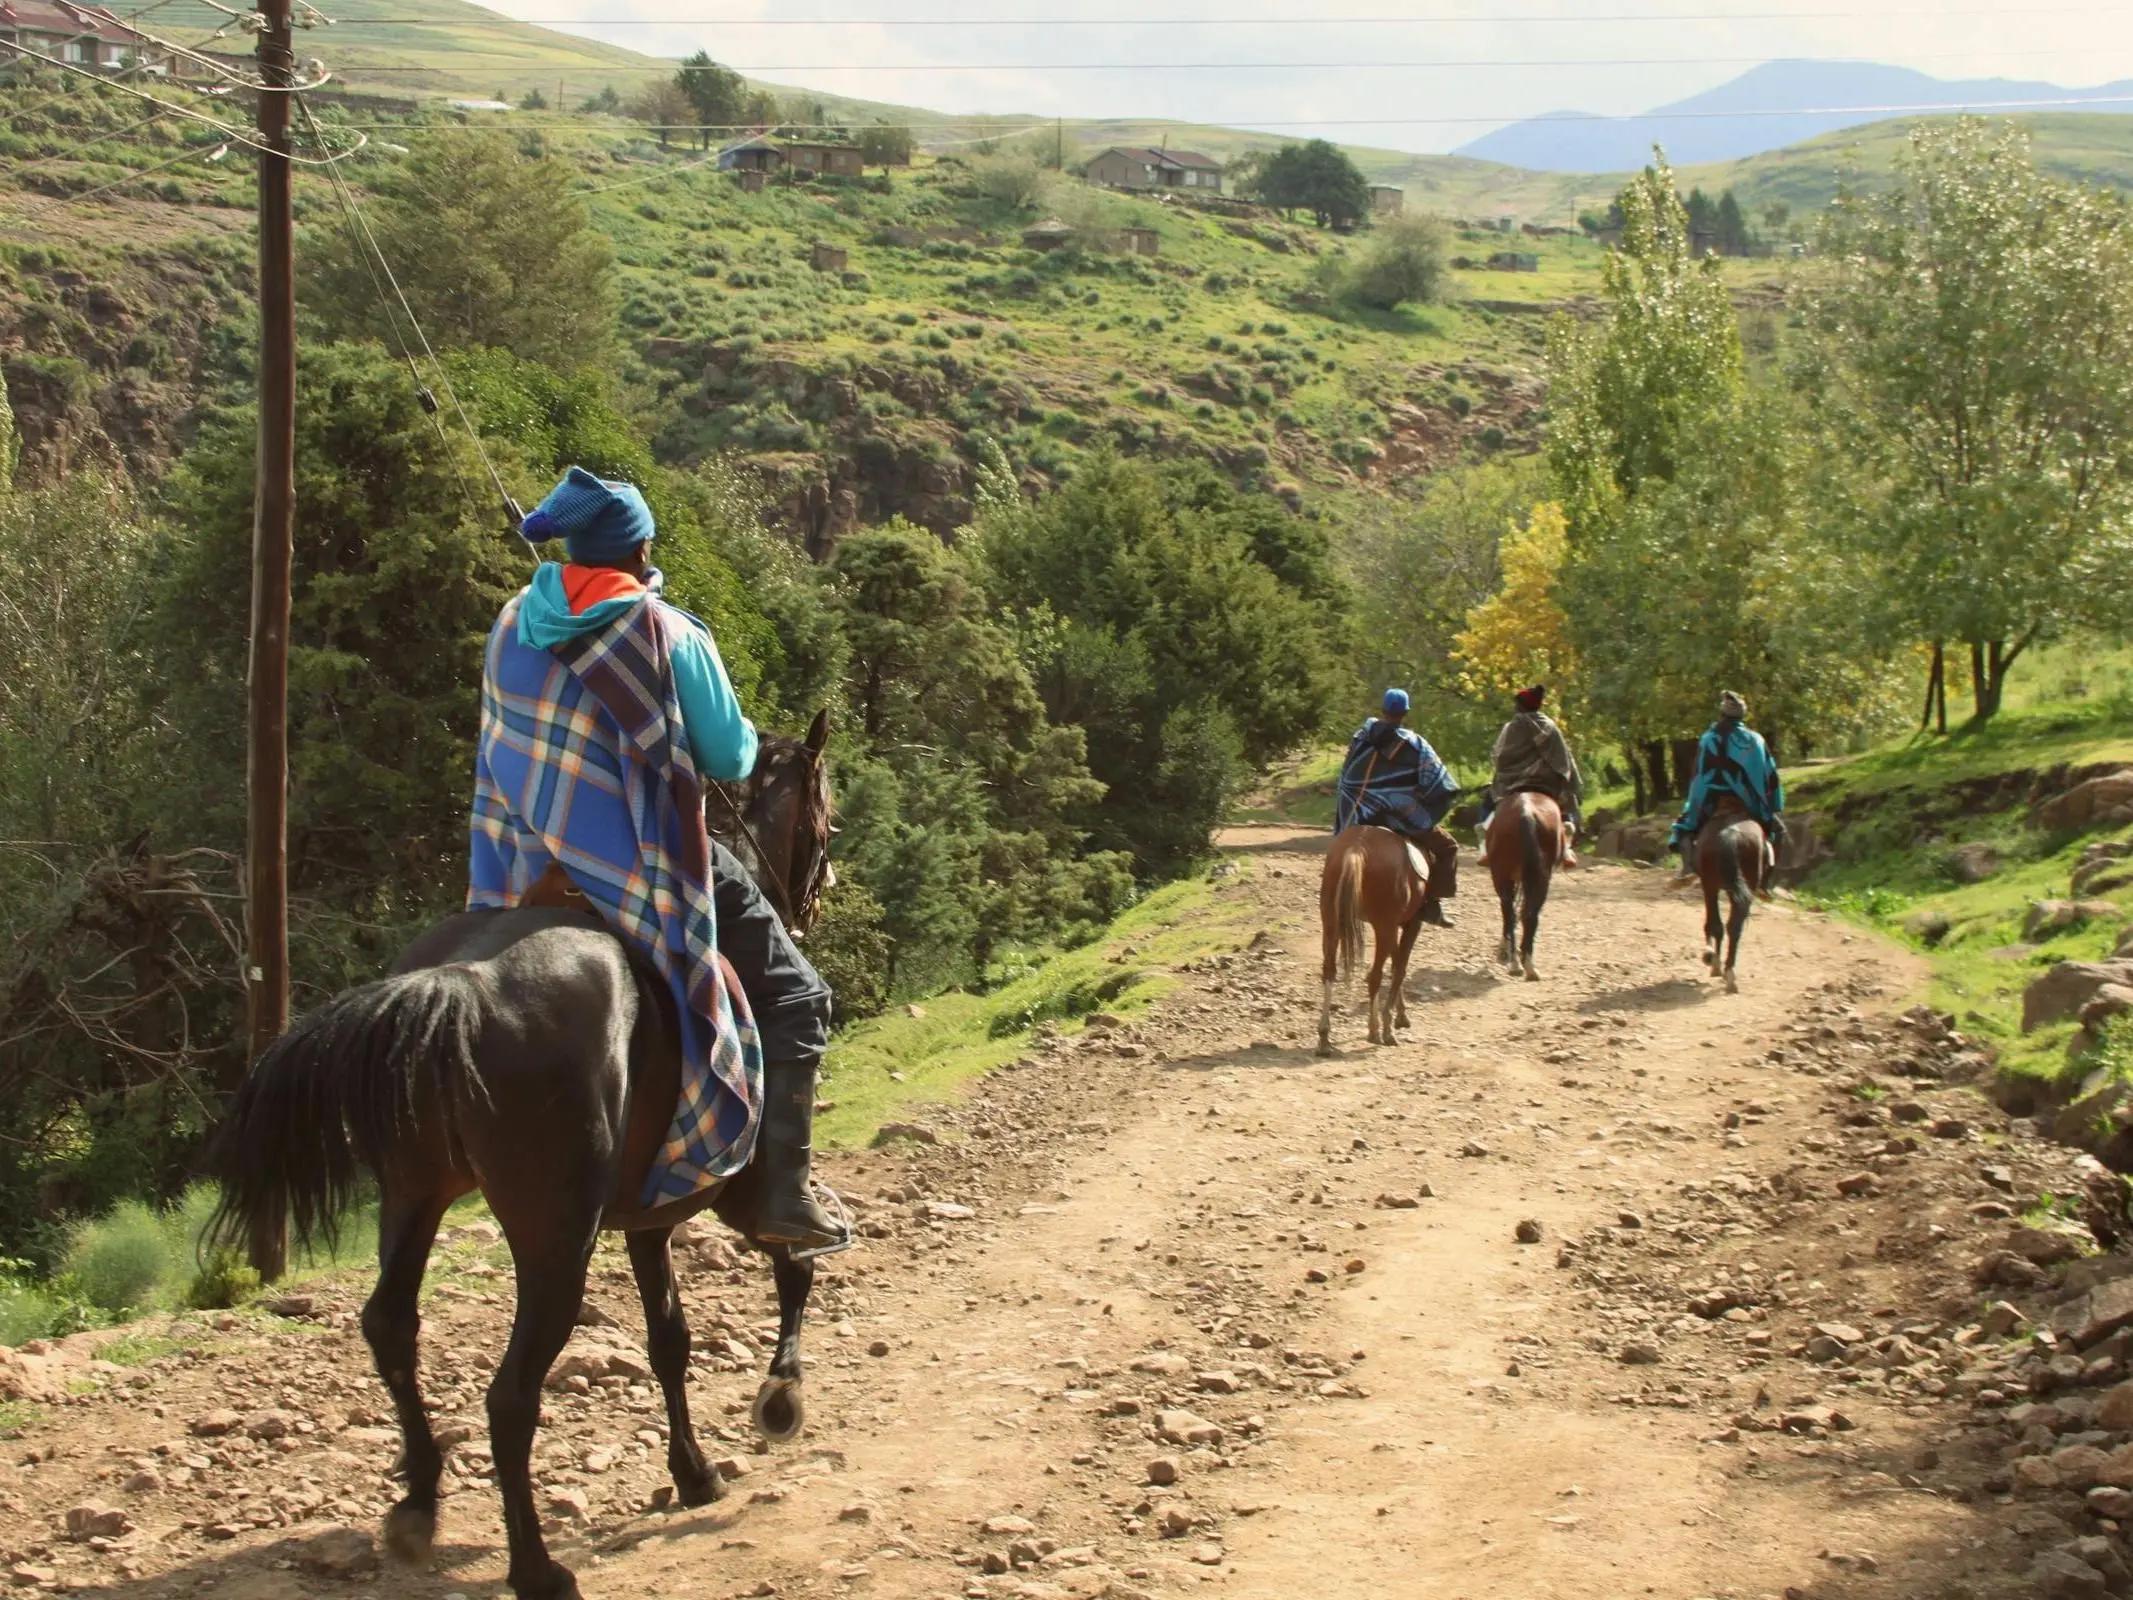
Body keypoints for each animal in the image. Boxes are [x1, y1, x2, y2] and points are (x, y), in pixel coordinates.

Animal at [207, 716, 836, 1600]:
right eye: (824, 820)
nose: (817, 889)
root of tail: (460, 984)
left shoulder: (650, 1218)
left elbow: (669, 1340)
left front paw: (692, 1471)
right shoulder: (735, 1192)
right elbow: (797, 1263)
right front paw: (779, 1401)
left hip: (414, 1194)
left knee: (390, 1325)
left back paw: (418, 1505)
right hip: (554, 1237)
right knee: (508, 1396)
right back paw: (535, 1566)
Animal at [1305, 832, 1424, 1058]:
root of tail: (1357, 848)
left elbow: (1396, 962)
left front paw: (1399, 1015)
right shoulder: (1411, 923)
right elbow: (1399, 967)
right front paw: (1391, 1021)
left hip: (1332, 920)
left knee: (1329, 971)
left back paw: (1324, 1037)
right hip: (1384, 925)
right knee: (1376, 974)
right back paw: (1382, 1031)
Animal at [1484, 797, 1569, 985]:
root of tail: (1526, 815)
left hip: (1503, 876)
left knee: (1510, 912)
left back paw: (1515, 962)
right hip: (1540, 878)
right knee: (1529, 915)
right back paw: (1528, 965)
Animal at [1689, 793, 1757, 989]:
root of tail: (1731, 833)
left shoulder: (1708, 885)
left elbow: (1712, 923)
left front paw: (1710, 957)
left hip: (1713, 883)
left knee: (1720, 924)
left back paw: (1718, 964)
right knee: (1735, 925)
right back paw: (1729, 971)